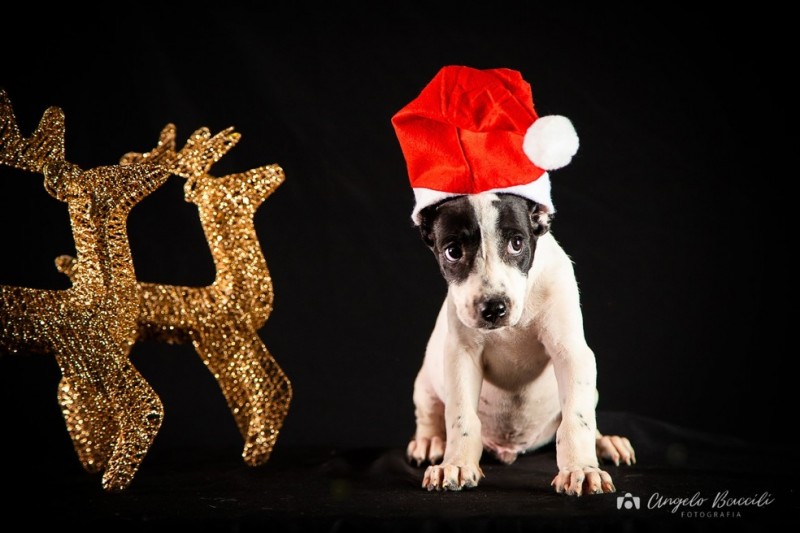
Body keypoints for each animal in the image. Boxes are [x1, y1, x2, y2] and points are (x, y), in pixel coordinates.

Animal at [410, 190, 636, 494]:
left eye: (517, 244)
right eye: (453, 251)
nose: (494, 308)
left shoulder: (571, 353)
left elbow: (577, 419)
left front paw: (581, 469)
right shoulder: (461, 356)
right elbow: (460, 416)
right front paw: (456, 464)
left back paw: (606, 442)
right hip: (424, 383)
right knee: (429, 414)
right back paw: (430, 441)